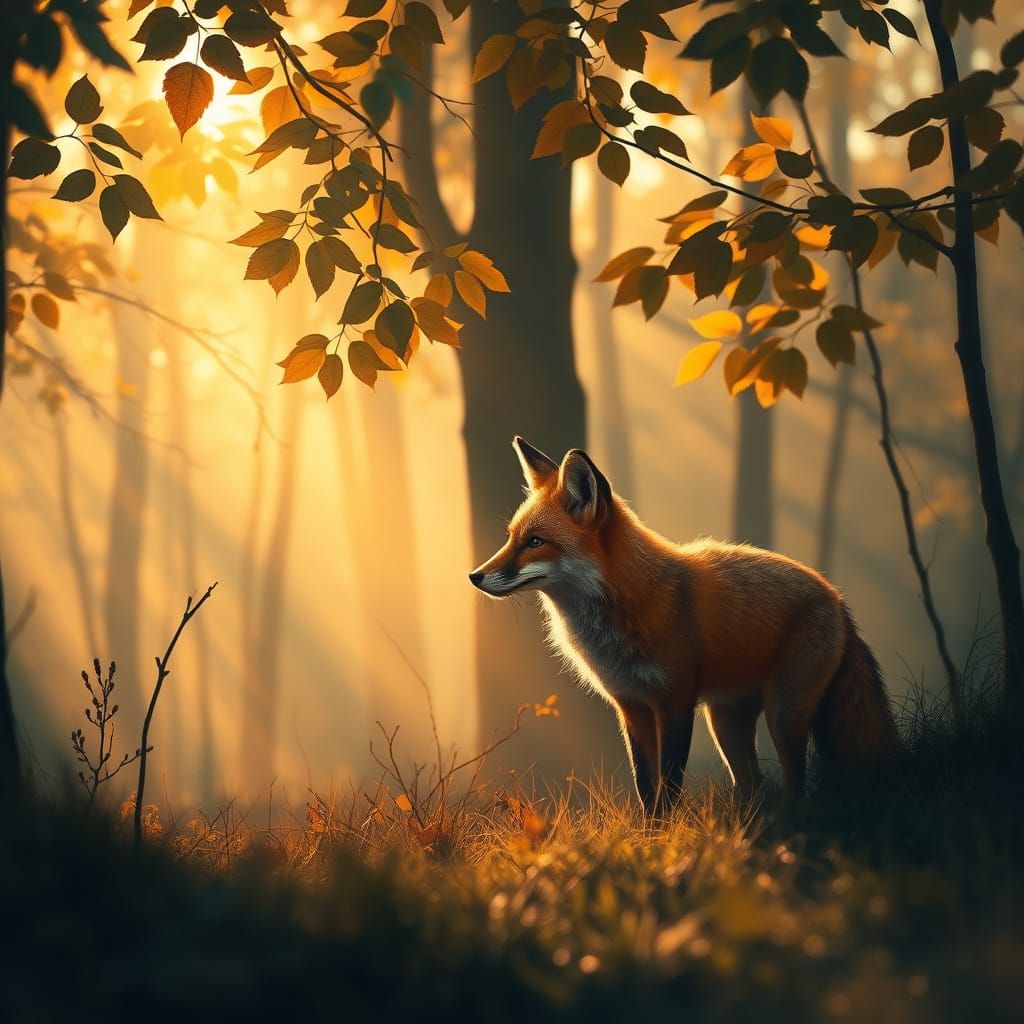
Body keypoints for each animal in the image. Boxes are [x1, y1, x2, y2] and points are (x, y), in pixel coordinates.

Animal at [469, 436, 900, 812]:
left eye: (535, 542)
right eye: (511, 538)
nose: (474, 576)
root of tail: (837, 596)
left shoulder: (675, 700)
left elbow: (670, 786)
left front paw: (666, 836)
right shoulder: (631, 706)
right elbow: (646, 788)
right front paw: (650, 838)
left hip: (784, 714)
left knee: (797, 785)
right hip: (727, 722)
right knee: (754, 785)